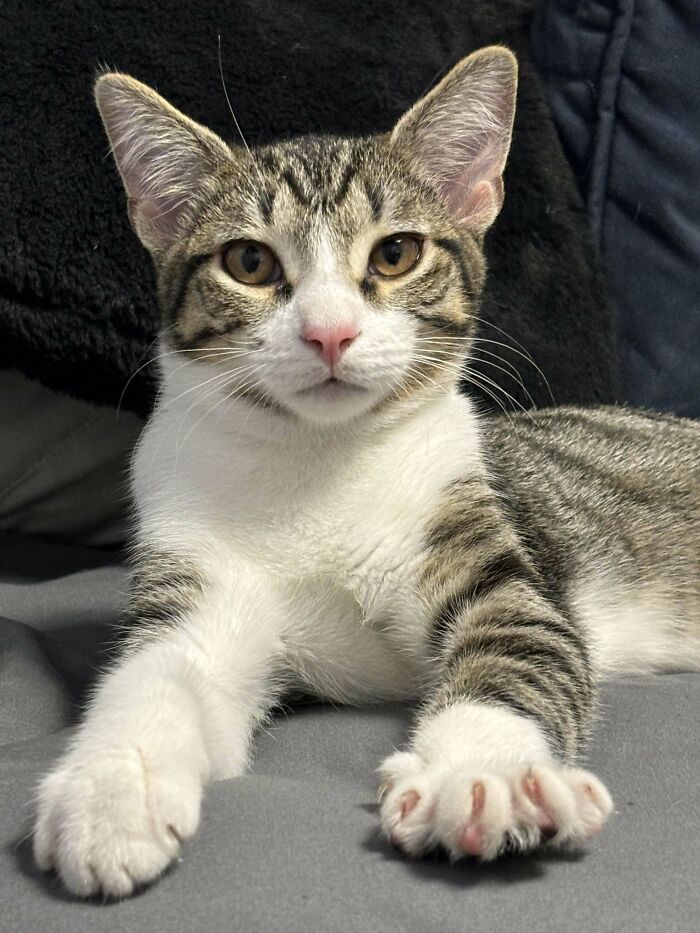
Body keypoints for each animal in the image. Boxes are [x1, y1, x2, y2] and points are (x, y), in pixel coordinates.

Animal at [32, 45, 700, 896]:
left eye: (395, 253)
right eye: (249, 260)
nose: (329, 332)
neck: (318, 468)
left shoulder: (488, 548)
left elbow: (521, 643)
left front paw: (481, 773)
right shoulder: (196, 565)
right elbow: (159, 669)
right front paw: (113, 783)